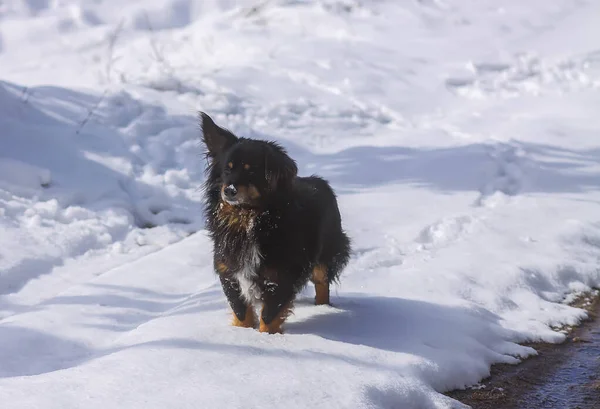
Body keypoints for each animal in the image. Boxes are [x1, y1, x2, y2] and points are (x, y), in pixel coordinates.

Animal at [202, 111, 352, 332]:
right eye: (227, 170)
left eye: (251, 171)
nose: (229, 190)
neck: (249, 219)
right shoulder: (228, 270)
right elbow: (241, 310)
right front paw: (242, 331)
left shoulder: (282, 275)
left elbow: (269, 315)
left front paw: (266, 337)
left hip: (327, 253)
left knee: (322, 282)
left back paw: (323, 307)